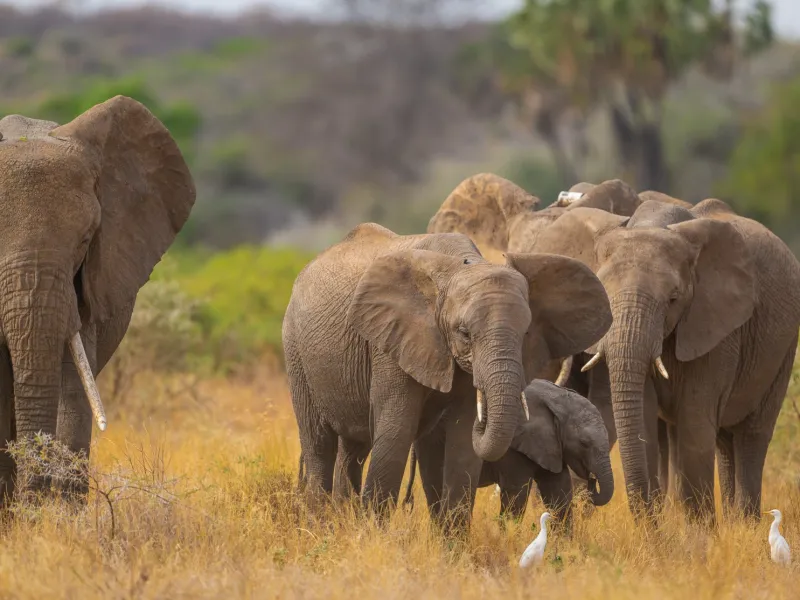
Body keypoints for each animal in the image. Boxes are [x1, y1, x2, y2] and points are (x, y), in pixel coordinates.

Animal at [403, 378, 613, 526]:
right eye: (584, 443)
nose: (592, 480)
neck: (557, 400)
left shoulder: (552, 447)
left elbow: (559, 494)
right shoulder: (513, 449)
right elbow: (515, 495)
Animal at [531, 188, 800, 519]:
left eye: (673, 299)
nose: (592, 489)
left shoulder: (716, 326)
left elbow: (695, 423)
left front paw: (699, 530)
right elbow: (645, 417)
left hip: (784, 346)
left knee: (752, 434)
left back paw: (745, 523)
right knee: (723, 441)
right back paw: (734, 521)